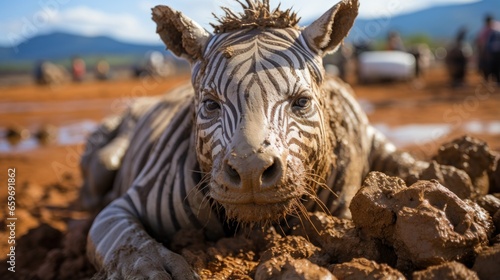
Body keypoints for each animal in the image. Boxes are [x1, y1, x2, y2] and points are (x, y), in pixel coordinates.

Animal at [82, 1, 430, 278]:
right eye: (210, 105)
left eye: (302, 102)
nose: (250, 172)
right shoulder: (121, 209)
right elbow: (130, 243)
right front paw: (153, 269)